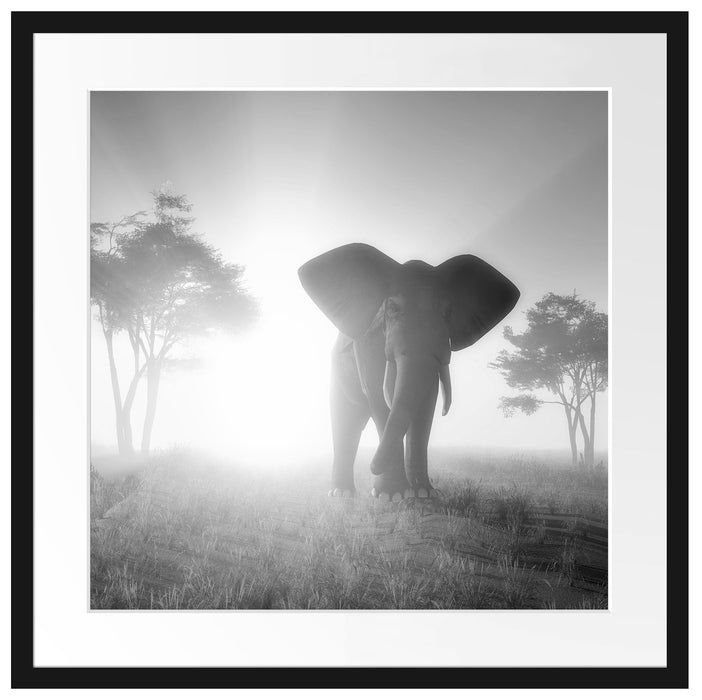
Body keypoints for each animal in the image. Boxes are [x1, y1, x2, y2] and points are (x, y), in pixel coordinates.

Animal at [298, 243, 519, 501]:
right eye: (392, 308)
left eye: (447, 313)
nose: (373, 467)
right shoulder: (368, 341)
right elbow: (378, 394)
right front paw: (391, 496)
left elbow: (426, 399)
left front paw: (424, 493)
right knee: (346, 420)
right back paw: (341, 493)